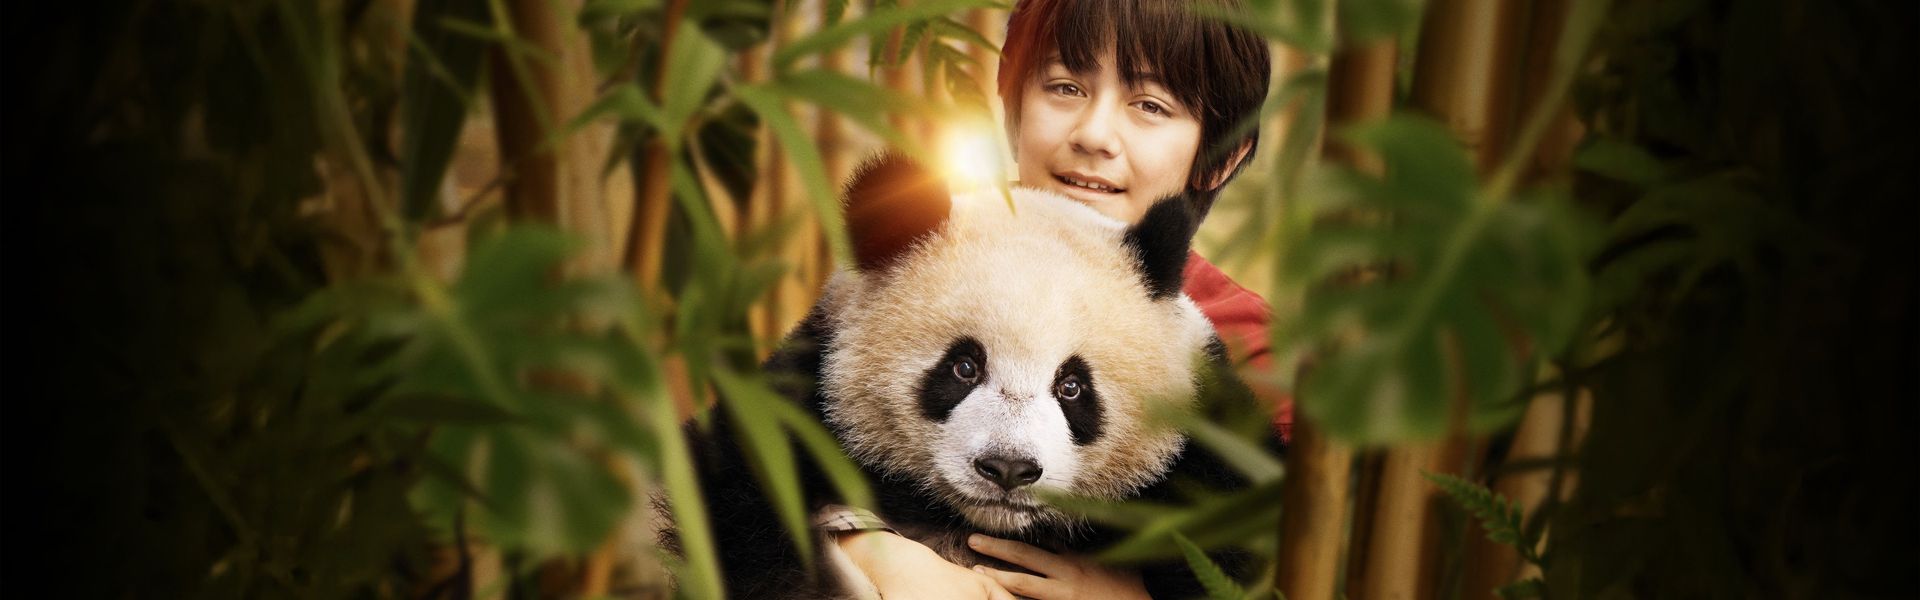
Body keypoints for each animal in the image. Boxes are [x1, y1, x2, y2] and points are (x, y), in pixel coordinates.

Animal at [681, 152, 1277, 599]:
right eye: (964, 367)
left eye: (1072, 387)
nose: (1009, 469)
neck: (979, 527)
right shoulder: (801, 411)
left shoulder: (1208, 452)